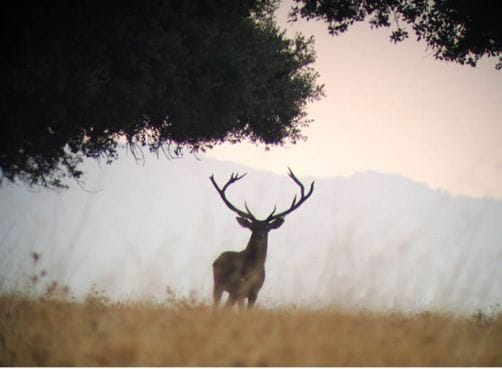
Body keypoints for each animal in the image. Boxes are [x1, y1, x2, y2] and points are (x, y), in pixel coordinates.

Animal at [209, 168, 314, 310]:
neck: (253, 269)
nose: (259, 235)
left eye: (267, 228)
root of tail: (217, 259)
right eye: (252, 228)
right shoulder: (239, 288)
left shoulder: (254, 292)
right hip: (219, 283)